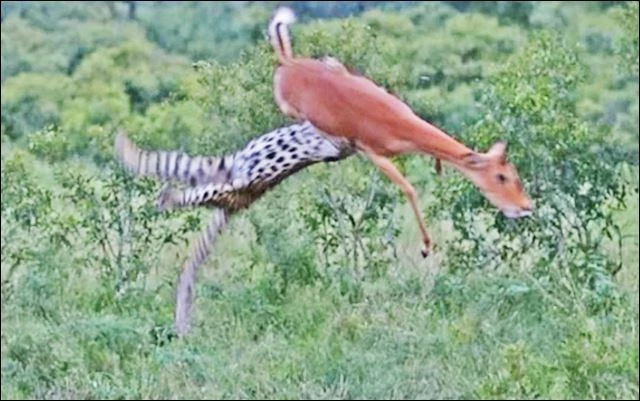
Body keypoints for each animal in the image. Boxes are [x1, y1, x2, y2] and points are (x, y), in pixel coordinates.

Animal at [267, 7, 534, 258]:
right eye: (501, 176)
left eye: (514, 173)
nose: (526, 206)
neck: (399, 124)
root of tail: (288, 64)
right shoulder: (375, 153)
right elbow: (409, 188)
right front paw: (426, 246)